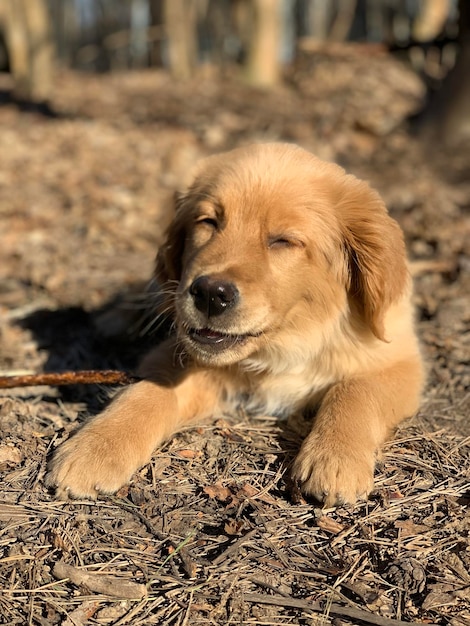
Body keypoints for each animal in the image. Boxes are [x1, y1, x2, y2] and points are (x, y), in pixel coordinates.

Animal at [47, 144, 426, 504]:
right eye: (208, 222)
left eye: (283, 240)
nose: (210, 295)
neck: (284, 344)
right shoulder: (182, 354)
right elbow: (148, 391)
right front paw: (95, 449)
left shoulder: (398, 360)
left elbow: (356, 390)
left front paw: (334, 459)